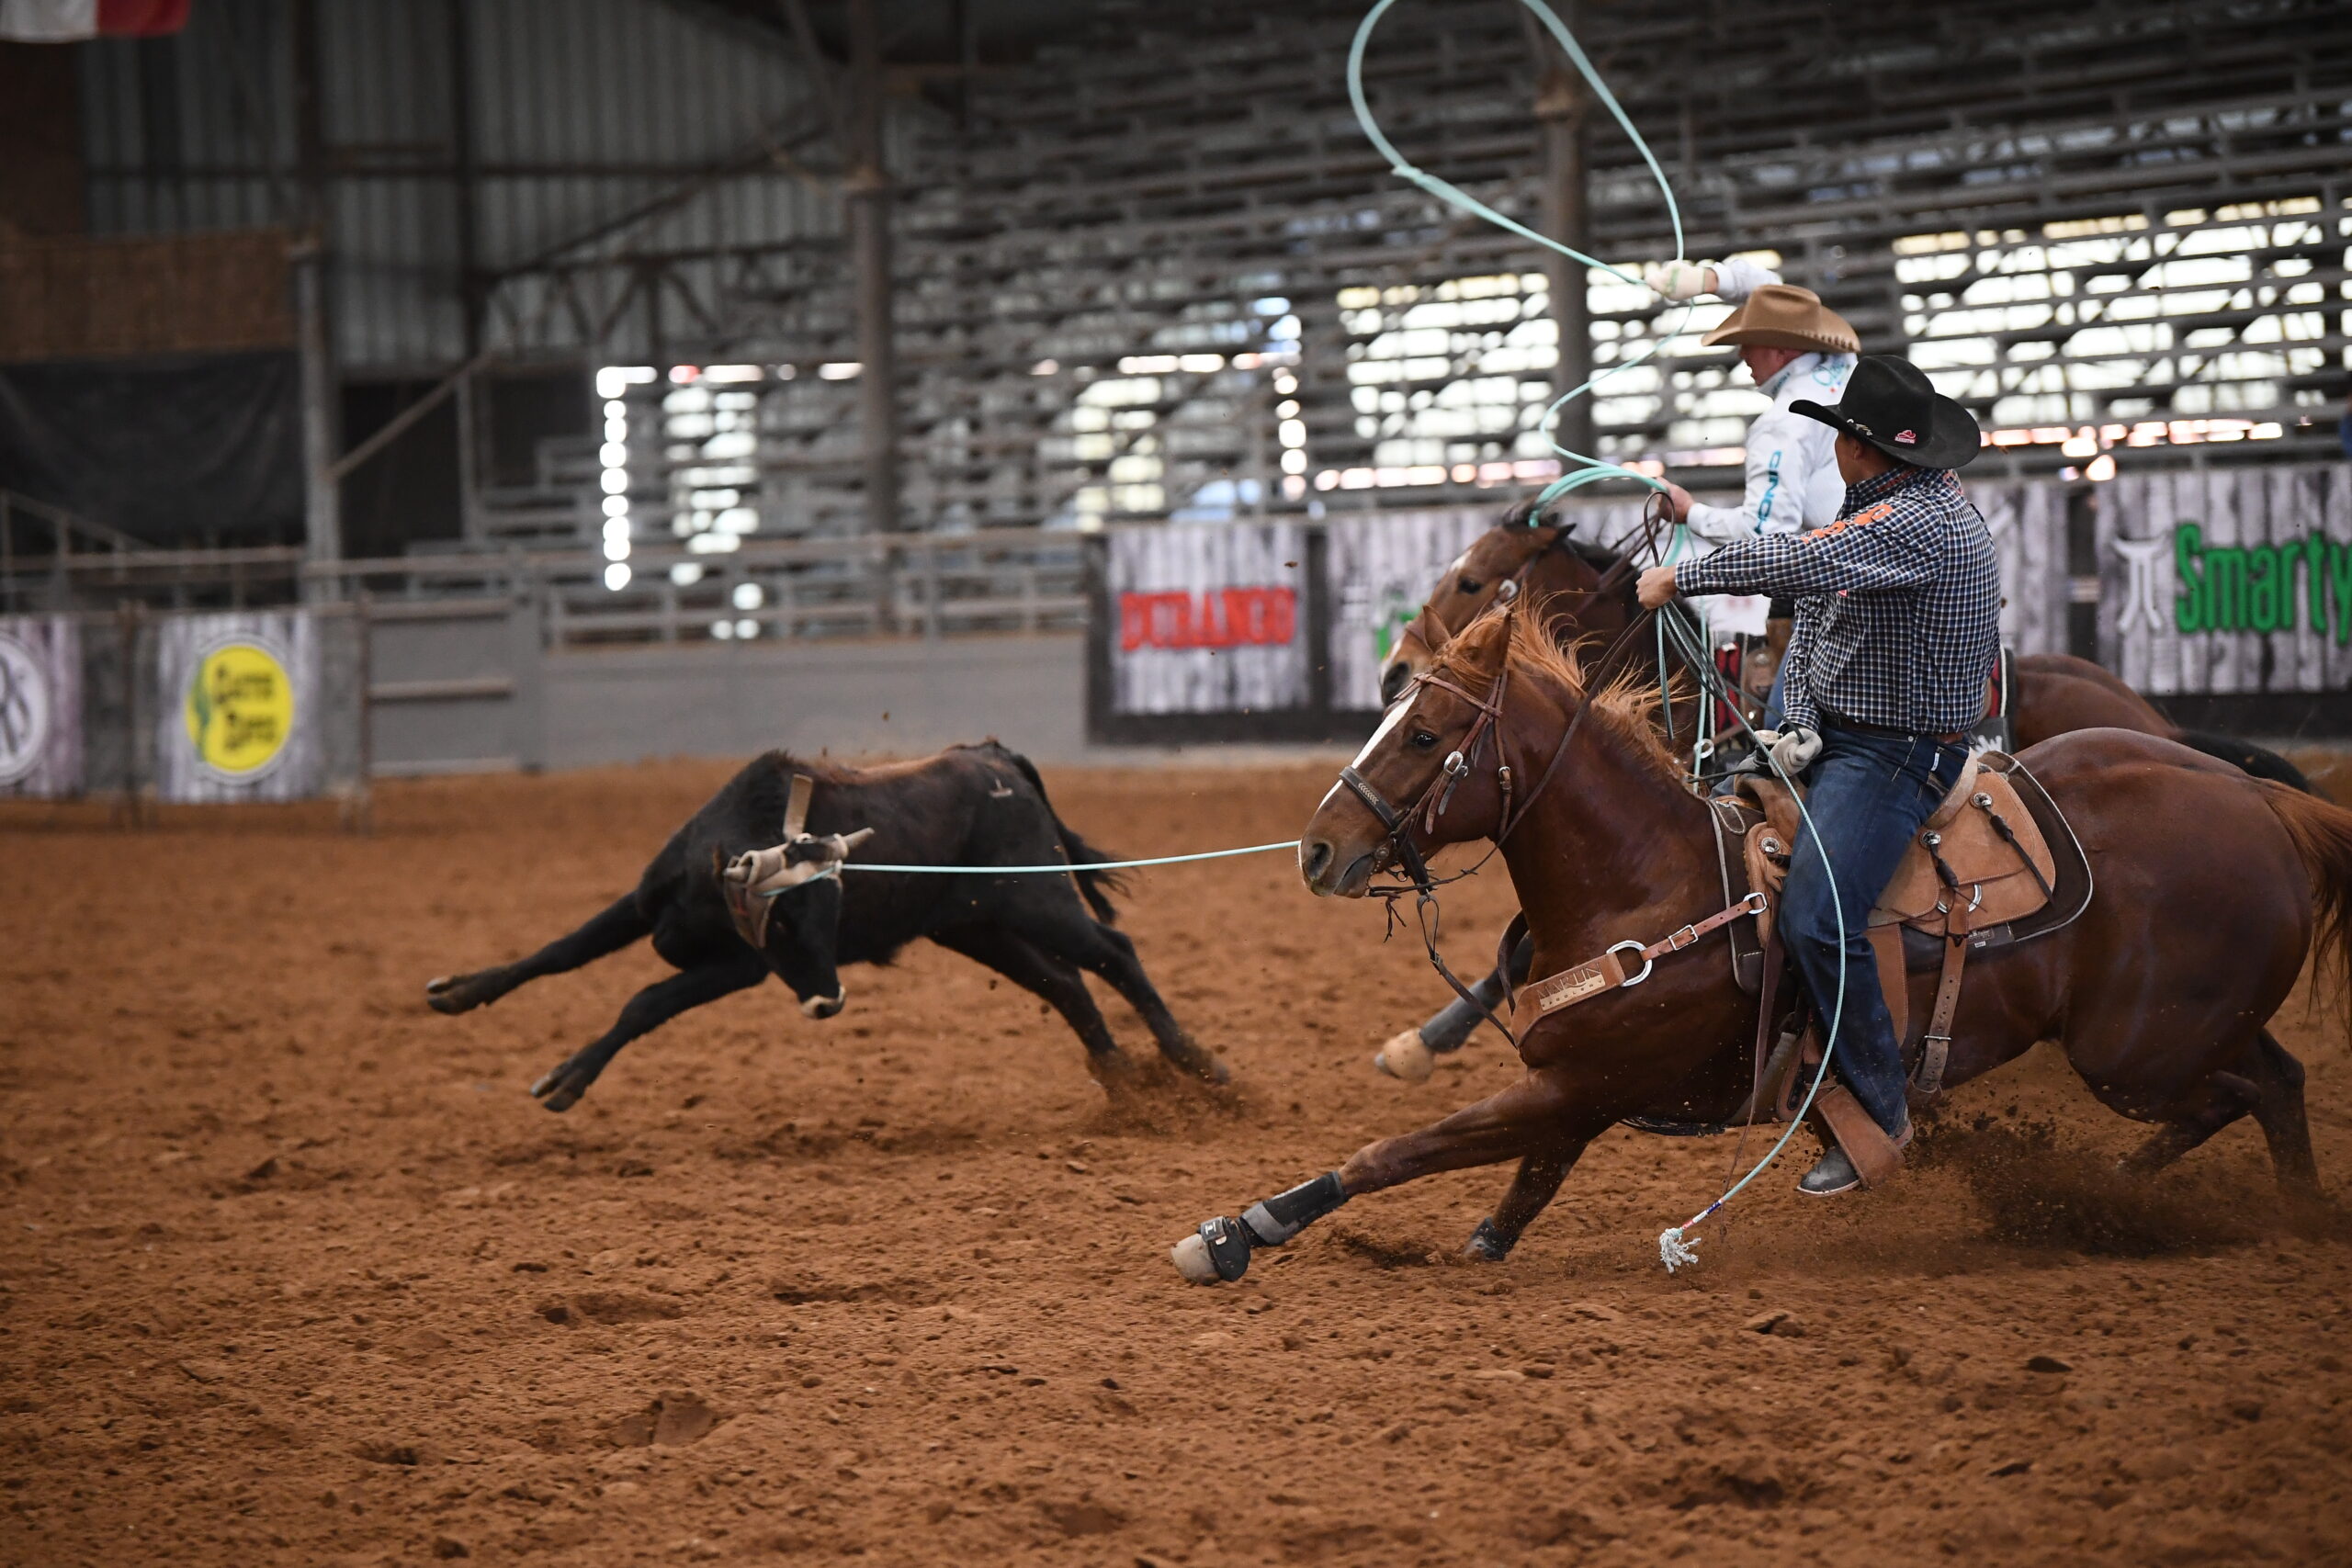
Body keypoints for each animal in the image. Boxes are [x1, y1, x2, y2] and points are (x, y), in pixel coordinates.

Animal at [1176, 606, 2352, 1288]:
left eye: (1424, 733)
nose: (1318, 849)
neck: (1650, 884)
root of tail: (2256, 797)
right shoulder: (1574, 1095)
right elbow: (1518, 1189)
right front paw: (1474, 1242)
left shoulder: (1576, 1086)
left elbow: (1401, 1149)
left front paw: (1239, 1232)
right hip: (2162, 1041)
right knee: (2258, 1088)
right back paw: (2133, 1198)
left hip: (2136, 1052)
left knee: (2260, 1088)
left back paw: (2237, 1215)